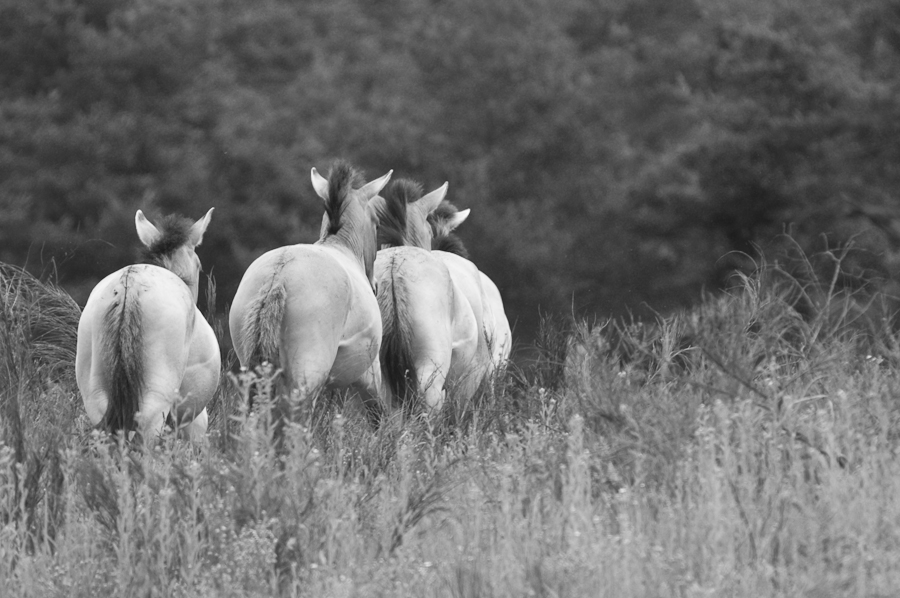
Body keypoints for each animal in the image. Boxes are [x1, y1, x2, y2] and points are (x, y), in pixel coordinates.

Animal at [229, 161, 391, 423]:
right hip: (305, 380)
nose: (374, 285)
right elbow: (380, 414)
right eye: (376, 222)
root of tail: (279, 274)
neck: (340, 246)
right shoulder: (369, 374)